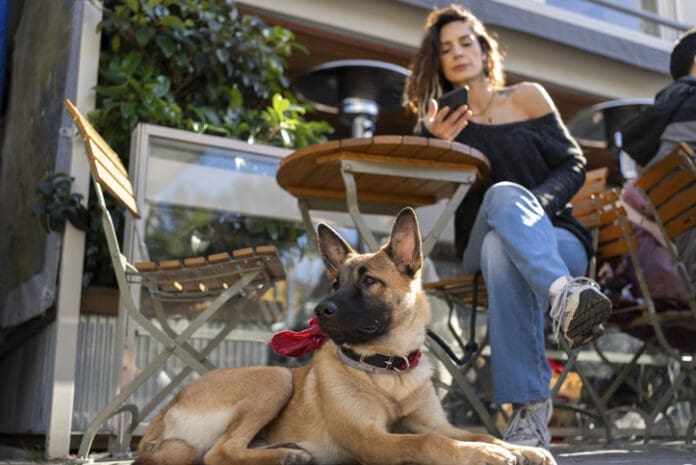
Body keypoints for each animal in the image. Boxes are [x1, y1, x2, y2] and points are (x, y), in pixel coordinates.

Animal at [133, 208, 556, 464]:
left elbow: (480, 433)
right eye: (335, 283)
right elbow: (427, 442)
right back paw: (286, 455)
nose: (322, 309)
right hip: (276, 377)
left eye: (369, 282)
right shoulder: (371, 438)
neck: (389, 369)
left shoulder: (439, 423)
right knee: (219, 453)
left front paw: (521, 449)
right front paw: (486, 454)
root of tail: (167, 409)